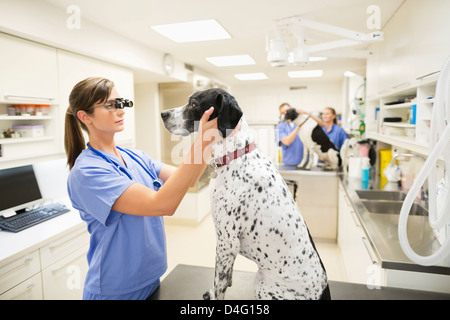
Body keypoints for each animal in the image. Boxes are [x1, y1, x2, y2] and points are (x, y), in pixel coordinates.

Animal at [162, 88, 330, 300]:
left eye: (193, 104)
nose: (163, 114)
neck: (235, 155)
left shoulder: (226, 241)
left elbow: (219, 282)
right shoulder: (227, 246)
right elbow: (225, 277)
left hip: (261, 282)